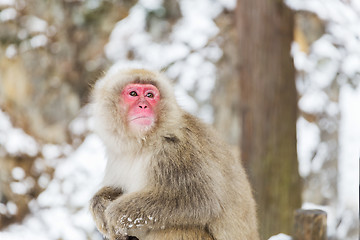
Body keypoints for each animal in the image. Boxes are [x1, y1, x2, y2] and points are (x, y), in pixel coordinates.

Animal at [89, 68, 258, 240]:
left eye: (150, 95)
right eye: (133, 93)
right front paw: (99, 202)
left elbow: (200, 200)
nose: (143, 105)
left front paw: (116, 215)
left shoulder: (176, 148)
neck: (143, 143)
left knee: (178, 228)